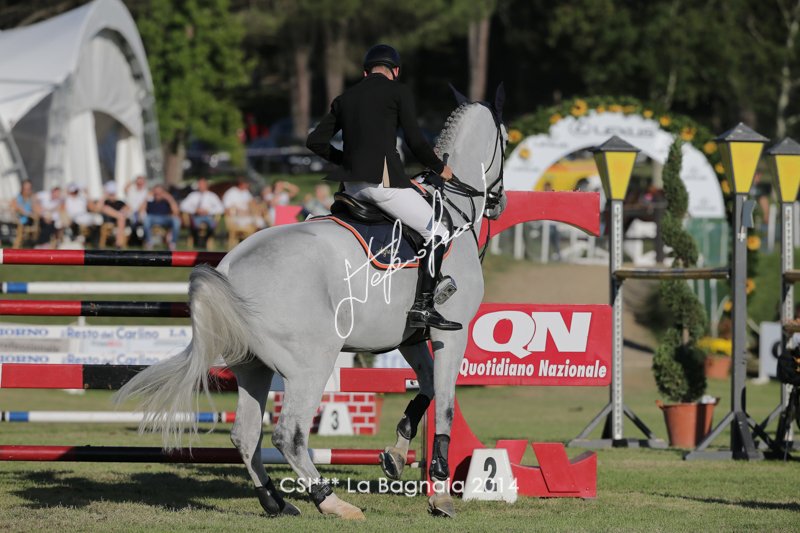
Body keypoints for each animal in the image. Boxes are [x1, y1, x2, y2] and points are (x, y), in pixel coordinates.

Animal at [115, 86, 507, 520]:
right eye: (506, 140)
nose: (499, 202)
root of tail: (232, 267)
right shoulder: (449, 333)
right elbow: (447, 403)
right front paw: (439, 493)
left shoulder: (410, 338)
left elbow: (427, 388)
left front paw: (394, 455)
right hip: (310, 364)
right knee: (289, 434)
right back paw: (331, 501)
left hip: (252, 366)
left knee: (246, 433)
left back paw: (275, 501)